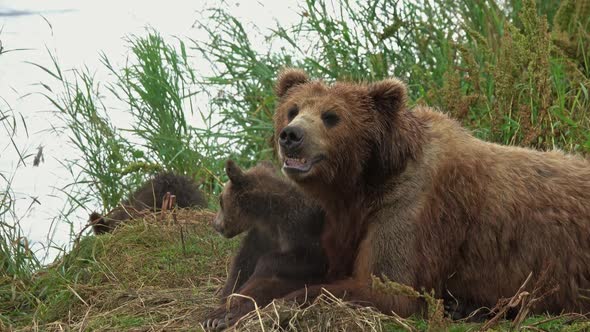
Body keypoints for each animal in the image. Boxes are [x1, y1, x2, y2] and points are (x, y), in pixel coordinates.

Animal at [270, 68, 590, 320]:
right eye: (293, 109)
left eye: (332, 116)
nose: (291, 135)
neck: (366, 180)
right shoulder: (347, 219)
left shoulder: (410, 208)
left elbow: (387, 288)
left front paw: (280, 301)